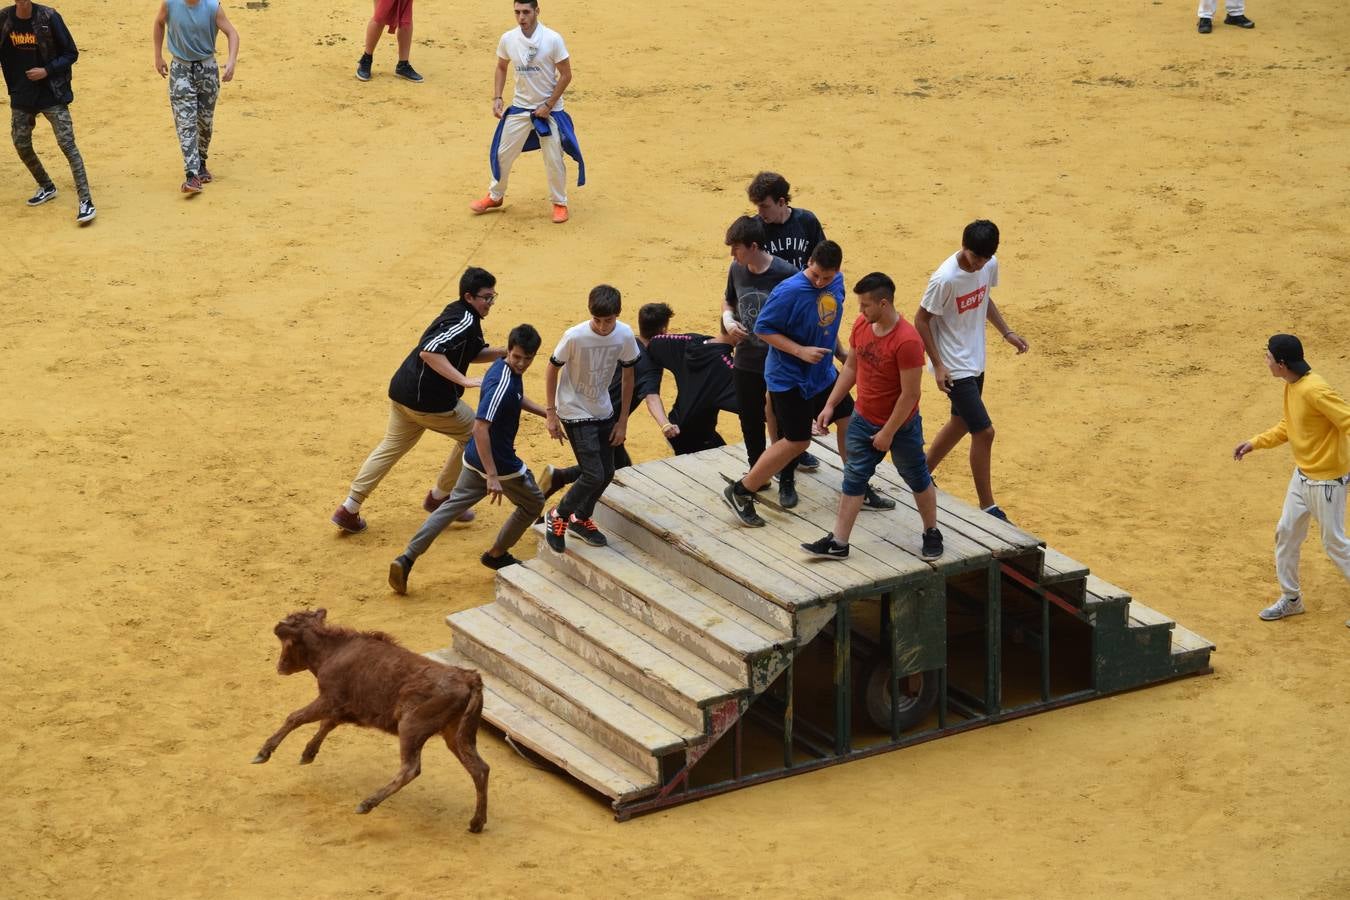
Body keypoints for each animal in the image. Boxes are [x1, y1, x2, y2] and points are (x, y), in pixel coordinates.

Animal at [253, 609, 491, 836]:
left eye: (286, 640)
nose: (279, 666)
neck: (334, 650)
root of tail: (469, 679)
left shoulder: (328, 699)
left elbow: (295, 717)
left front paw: (264, 752)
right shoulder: (341, 709)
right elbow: (325, 724)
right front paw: (308, 753)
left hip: (411, 728)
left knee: (411, 769)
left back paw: (367, 803)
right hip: (457, 735)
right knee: (479, 769)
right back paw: (476, 823)